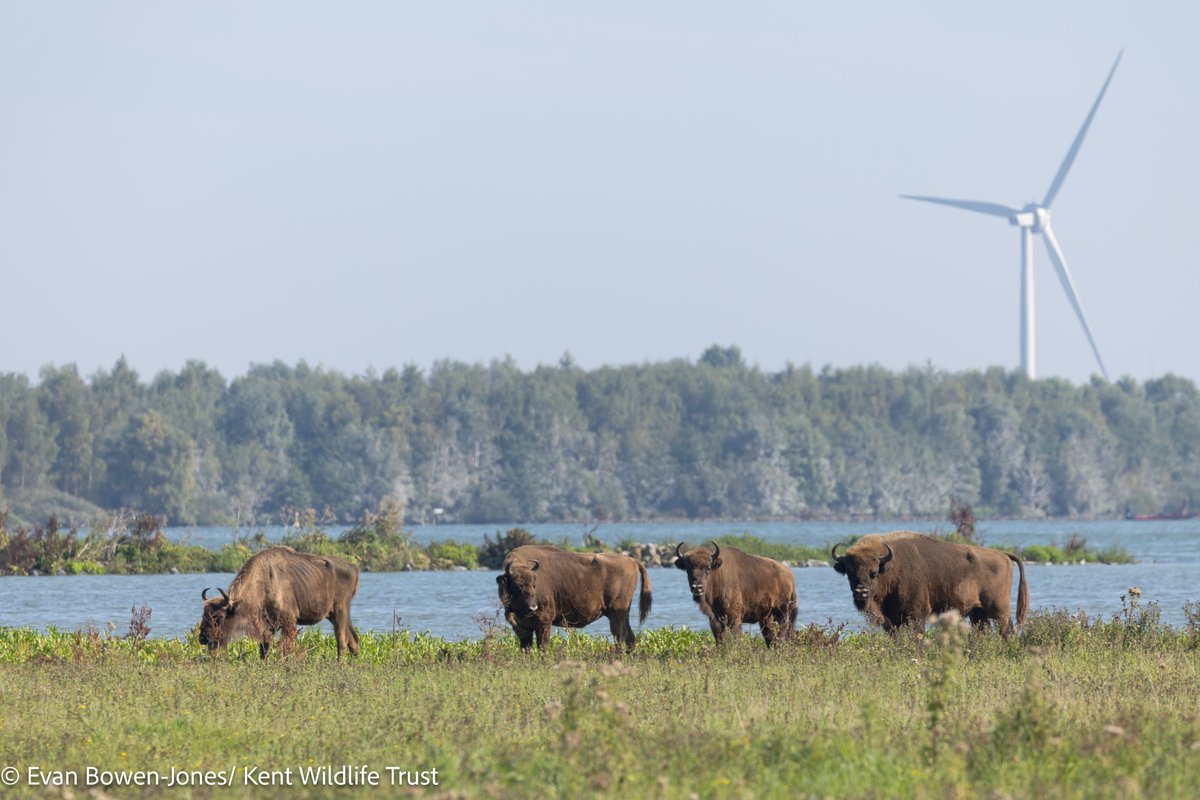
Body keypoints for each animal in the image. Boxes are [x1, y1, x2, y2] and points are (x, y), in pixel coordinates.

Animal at [198, 546, 361, 660]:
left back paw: (339, 665)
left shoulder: (289, 622)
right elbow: (264, 648)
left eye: (218, 617)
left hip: (340, 611)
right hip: (334, 615)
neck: (264, 582)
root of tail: (354, 568)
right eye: (204, 615)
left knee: (341, 640)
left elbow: (285, 648)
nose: (203, 639)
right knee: (353, 641)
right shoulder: (268, 626)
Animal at [496, 545, 652, 652]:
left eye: (535, 585)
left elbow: (542, 645)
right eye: (517, 586)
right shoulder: (522, 628)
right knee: (630, 637)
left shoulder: (544, 622)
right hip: (623, 613)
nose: (532, 608)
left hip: (616, 613)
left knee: (619, 635)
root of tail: (632, 560)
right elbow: (526, 647)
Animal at [830, 531, 1029, 634]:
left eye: (873, 572)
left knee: (1006, 630)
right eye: (849, 572)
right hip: (978, 612)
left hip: (999, 609)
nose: (860, 592)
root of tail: (1003, 554)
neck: (890, 566)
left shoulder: (916, 614)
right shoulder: (891, 620)